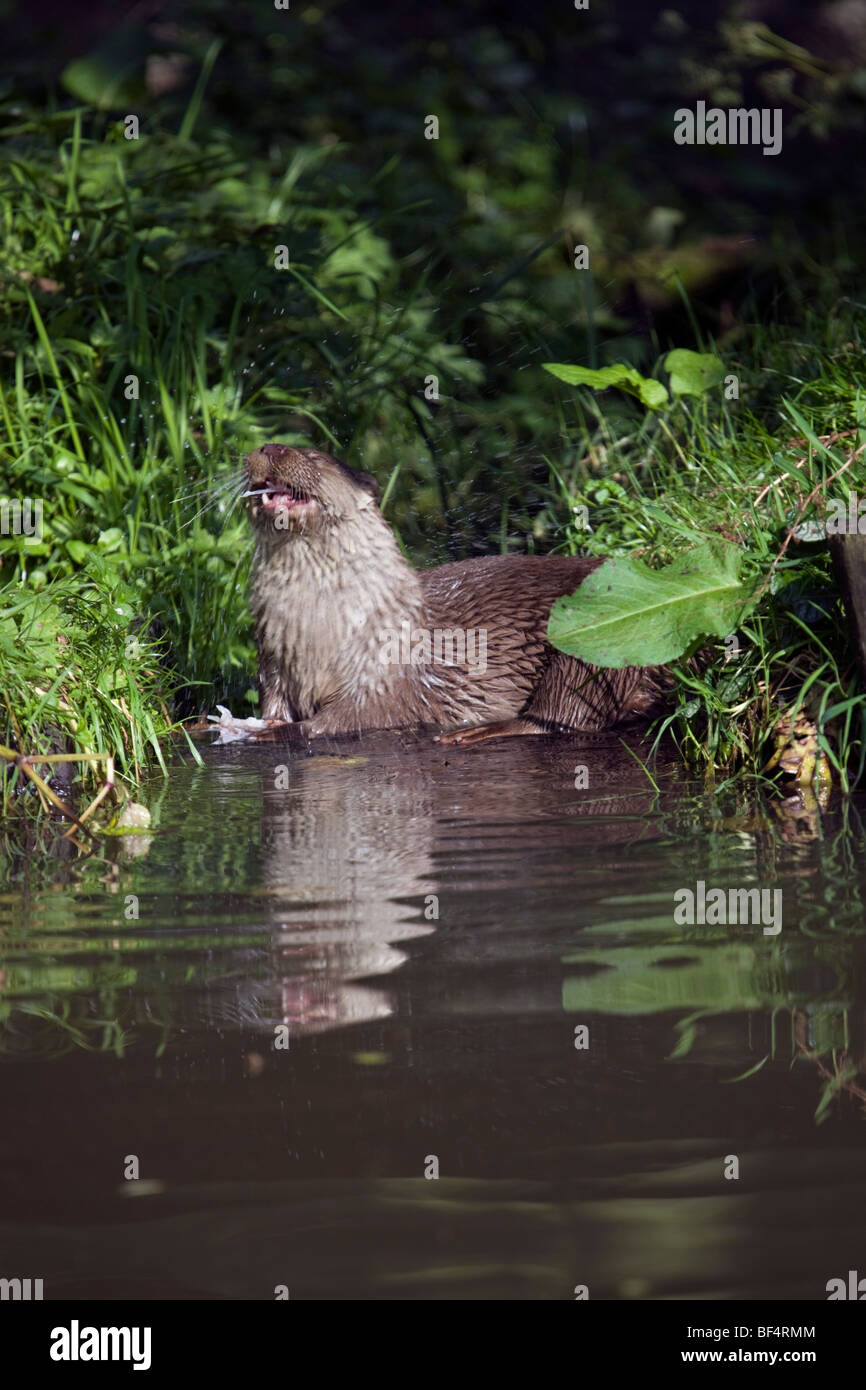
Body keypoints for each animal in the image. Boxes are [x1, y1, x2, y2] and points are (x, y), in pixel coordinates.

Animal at [246, 447, 670, 750]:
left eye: (313, 457)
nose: (270, 447)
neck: (321, 625)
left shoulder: (384, 670)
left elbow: (348, 719)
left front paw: (278, 733)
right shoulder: (273, 661)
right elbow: (274, 701)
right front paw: (262, 722)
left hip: (594, 649)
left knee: (561, 711)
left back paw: (476, 731)